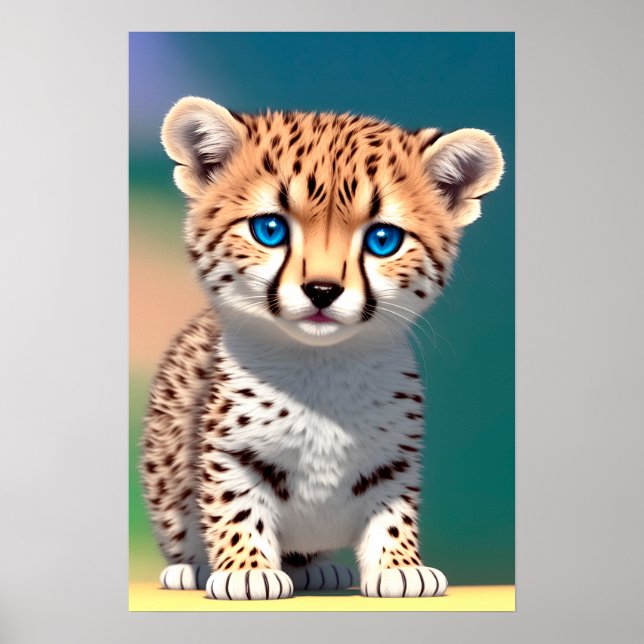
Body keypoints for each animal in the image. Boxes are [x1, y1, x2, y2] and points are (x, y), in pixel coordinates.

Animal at [140, 96, 504, 600]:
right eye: (270, 230)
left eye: (383, 239)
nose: (322, 290)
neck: (322, 366)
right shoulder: (231, 455)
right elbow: (236, 510)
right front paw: (246, 571)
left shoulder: (391, 461)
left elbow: (392, 516)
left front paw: (399, 567)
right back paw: (189, 570)